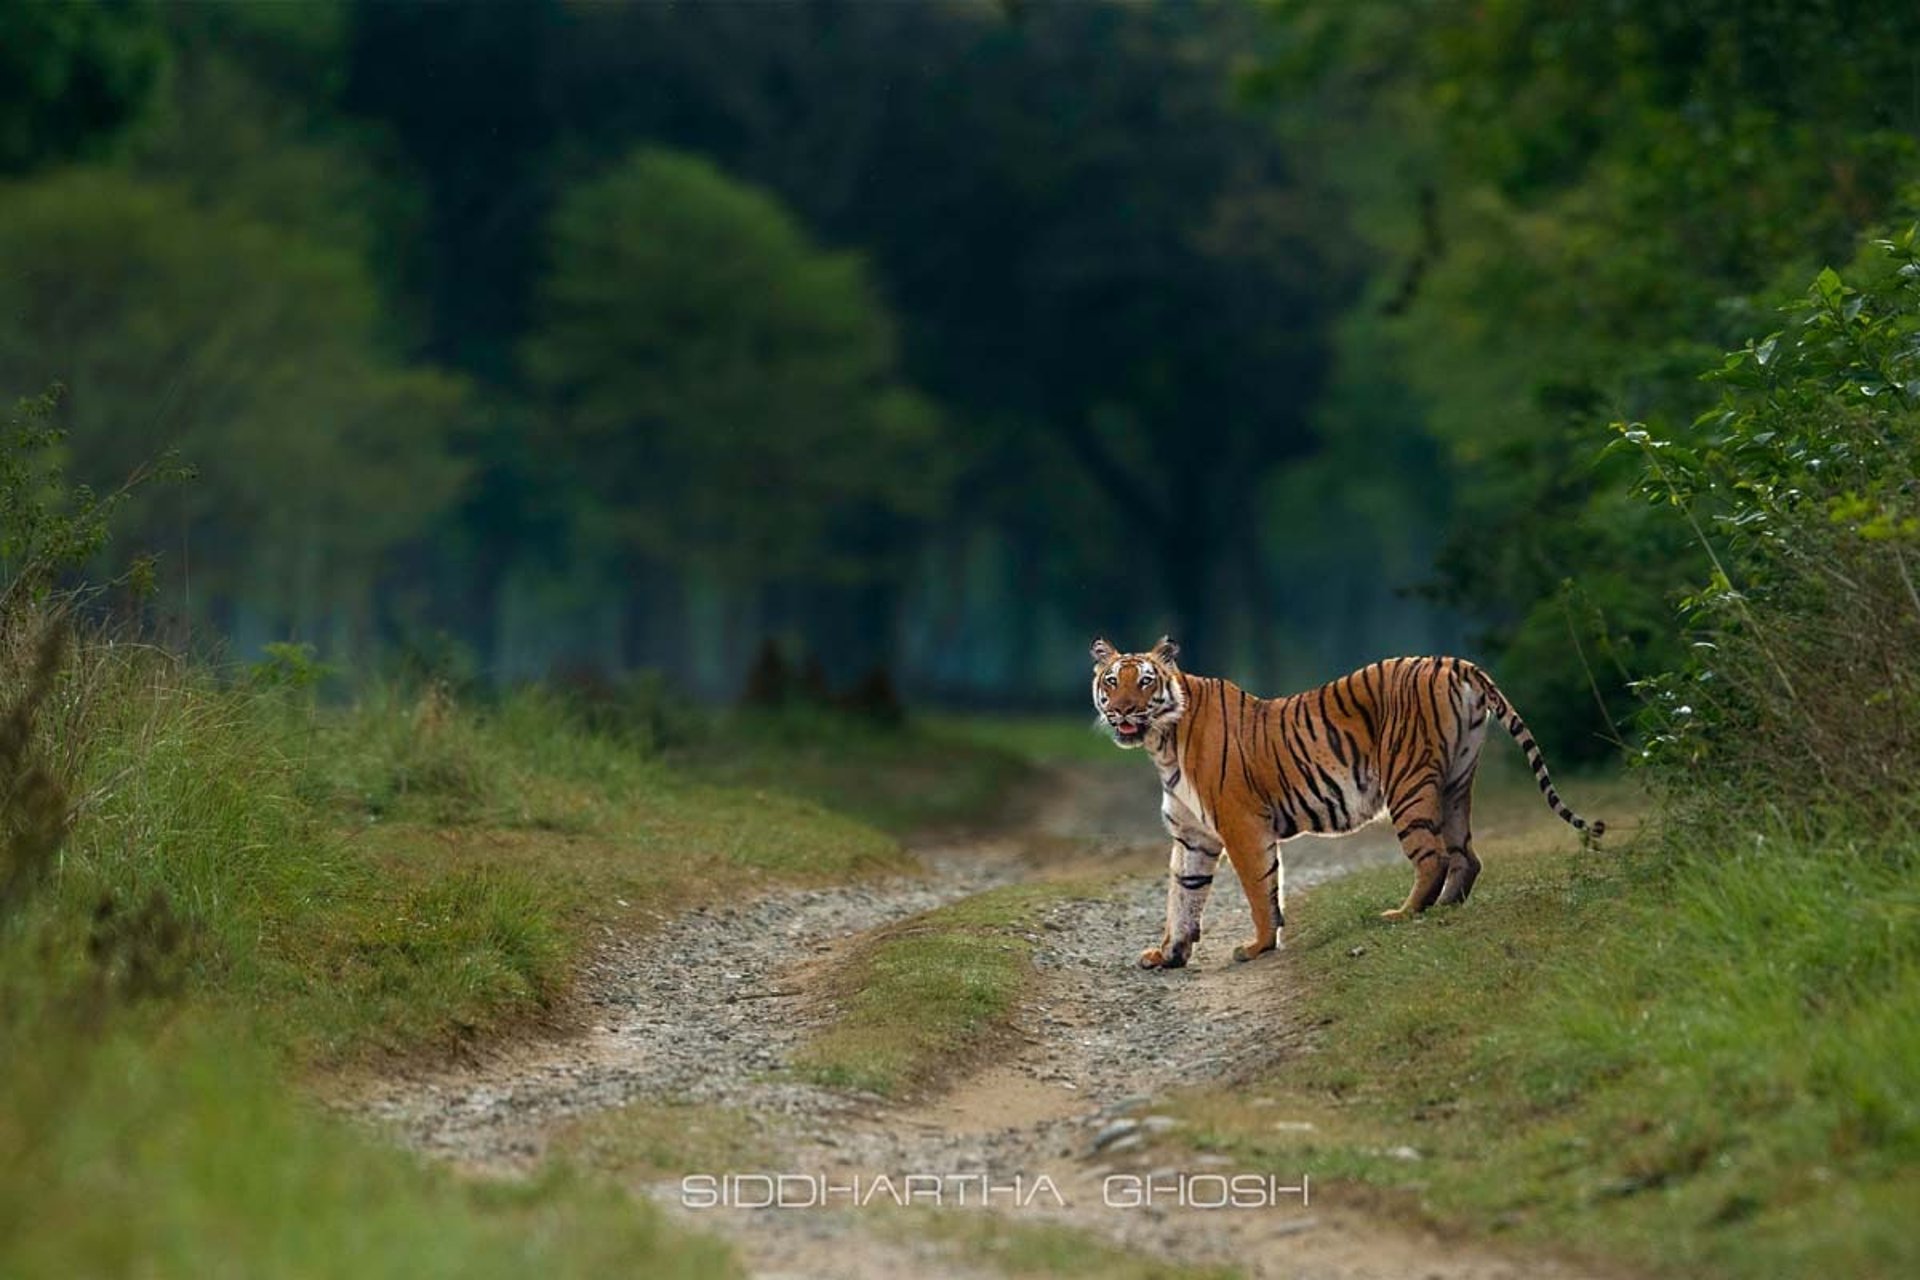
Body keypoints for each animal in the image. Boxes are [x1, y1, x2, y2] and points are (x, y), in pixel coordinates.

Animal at [1089, 637, 1603, 969]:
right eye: (1112, 681)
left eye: (1145, 682)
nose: (1121, 710)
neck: (1161, 743)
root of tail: (1450, 661)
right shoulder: (1193, 837)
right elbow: (1182, 895)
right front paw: (1169, 954)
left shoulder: (1242, 825)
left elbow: (1259, 890)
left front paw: (1258, 947)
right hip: (1456, 784)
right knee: (1466, 857)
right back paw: (1443, 908)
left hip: (1408, 783)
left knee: (1433, 857)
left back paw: (1403, 914)